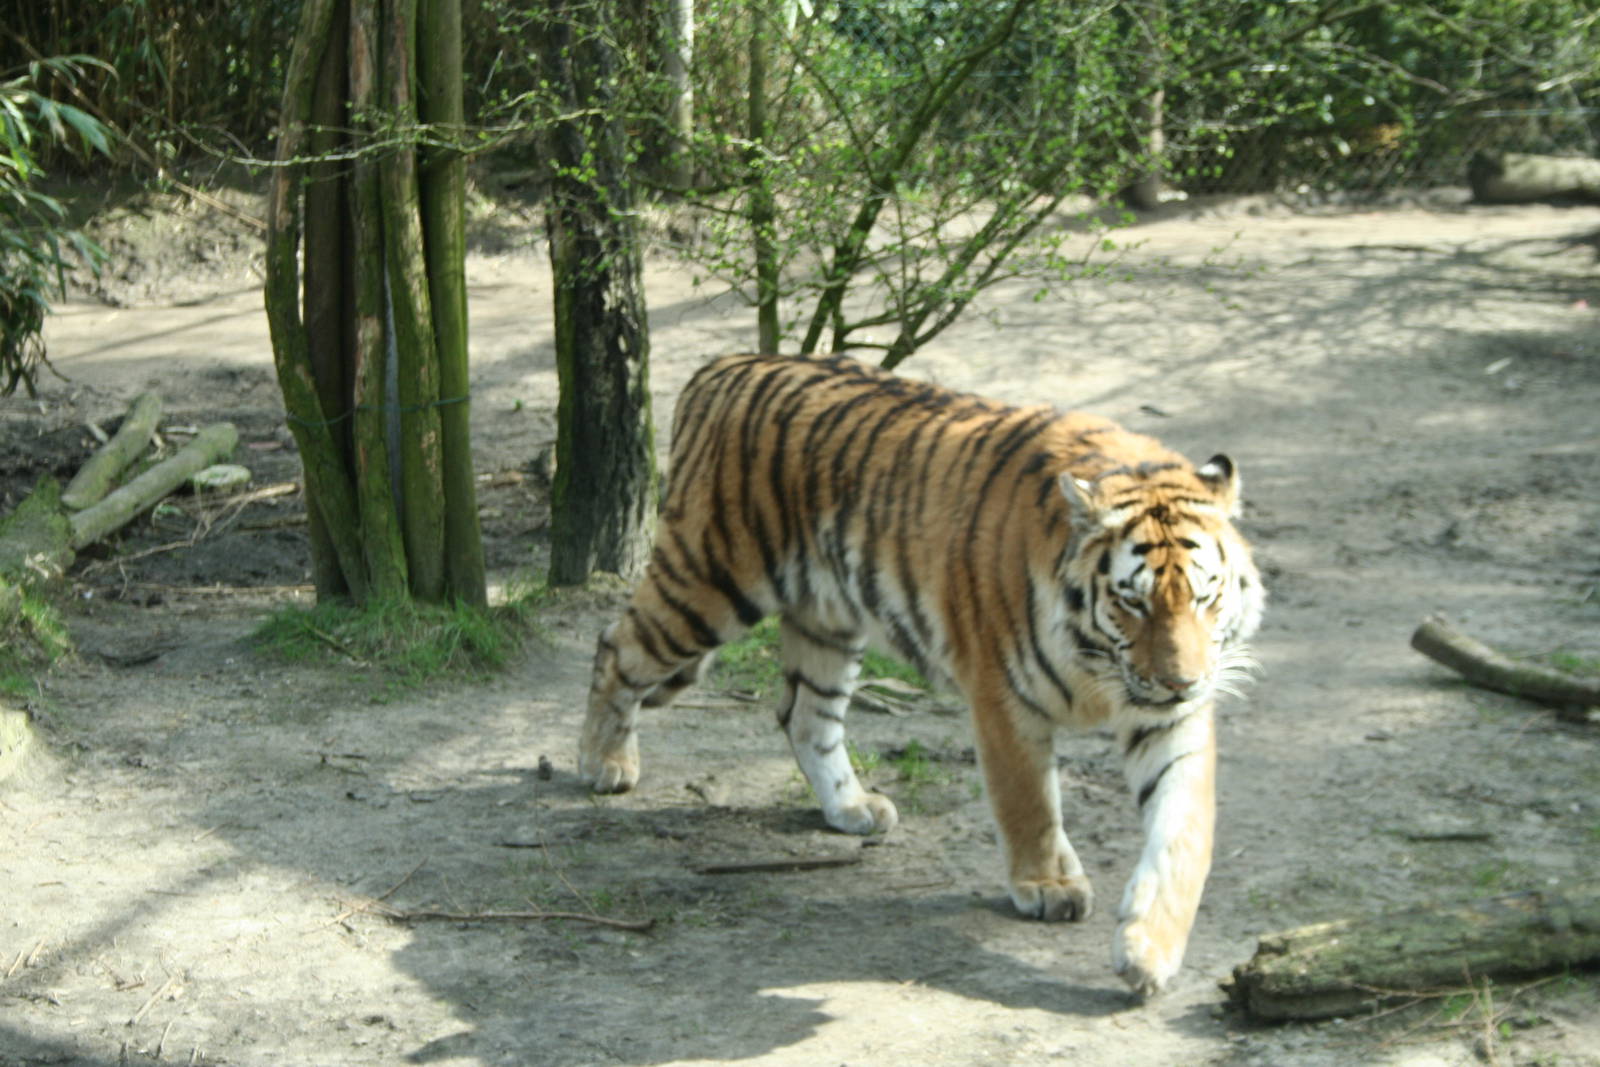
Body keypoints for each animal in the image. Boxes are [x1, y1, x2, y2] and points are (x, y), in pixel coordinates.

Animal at [578, 352, 1264, 996]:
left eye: (1204, 597)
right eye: (1133, 601)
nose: (1182, 682)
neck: (1099, 660)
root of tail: (724, 366)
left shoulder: (1170, 722)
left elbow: (1183, 834)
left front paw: (1150, 951)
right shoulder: (1003, 695)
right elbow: (1031, 803)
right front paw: (1047, 884)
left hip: (826, 619)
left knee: (806, 717)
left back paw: (851, 806)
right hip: (706, 582)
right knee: (615, 646)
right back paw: (604, 763)